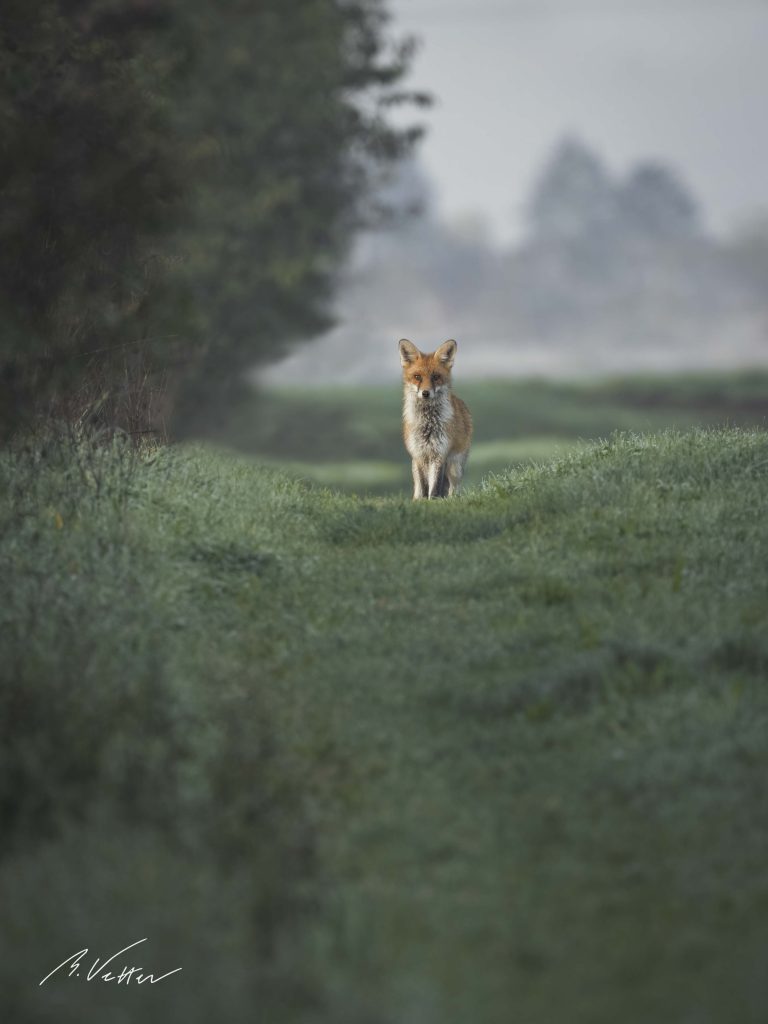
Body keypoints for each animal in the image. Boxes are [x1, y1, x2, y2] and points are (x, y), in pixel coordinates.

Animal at [399, 337, 473, 497]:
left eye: (436, 377)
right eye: (417, 377)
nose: (425, 393)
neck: (428, 423)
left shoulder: (440, 454)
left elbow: (434, 488)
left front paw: (433, 500)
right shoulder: (419, 454)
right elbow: (424, 487)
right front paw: (423, 501)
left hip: (455, 467)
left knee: (453, 488)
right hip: (414, 466)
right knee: (418, 488)